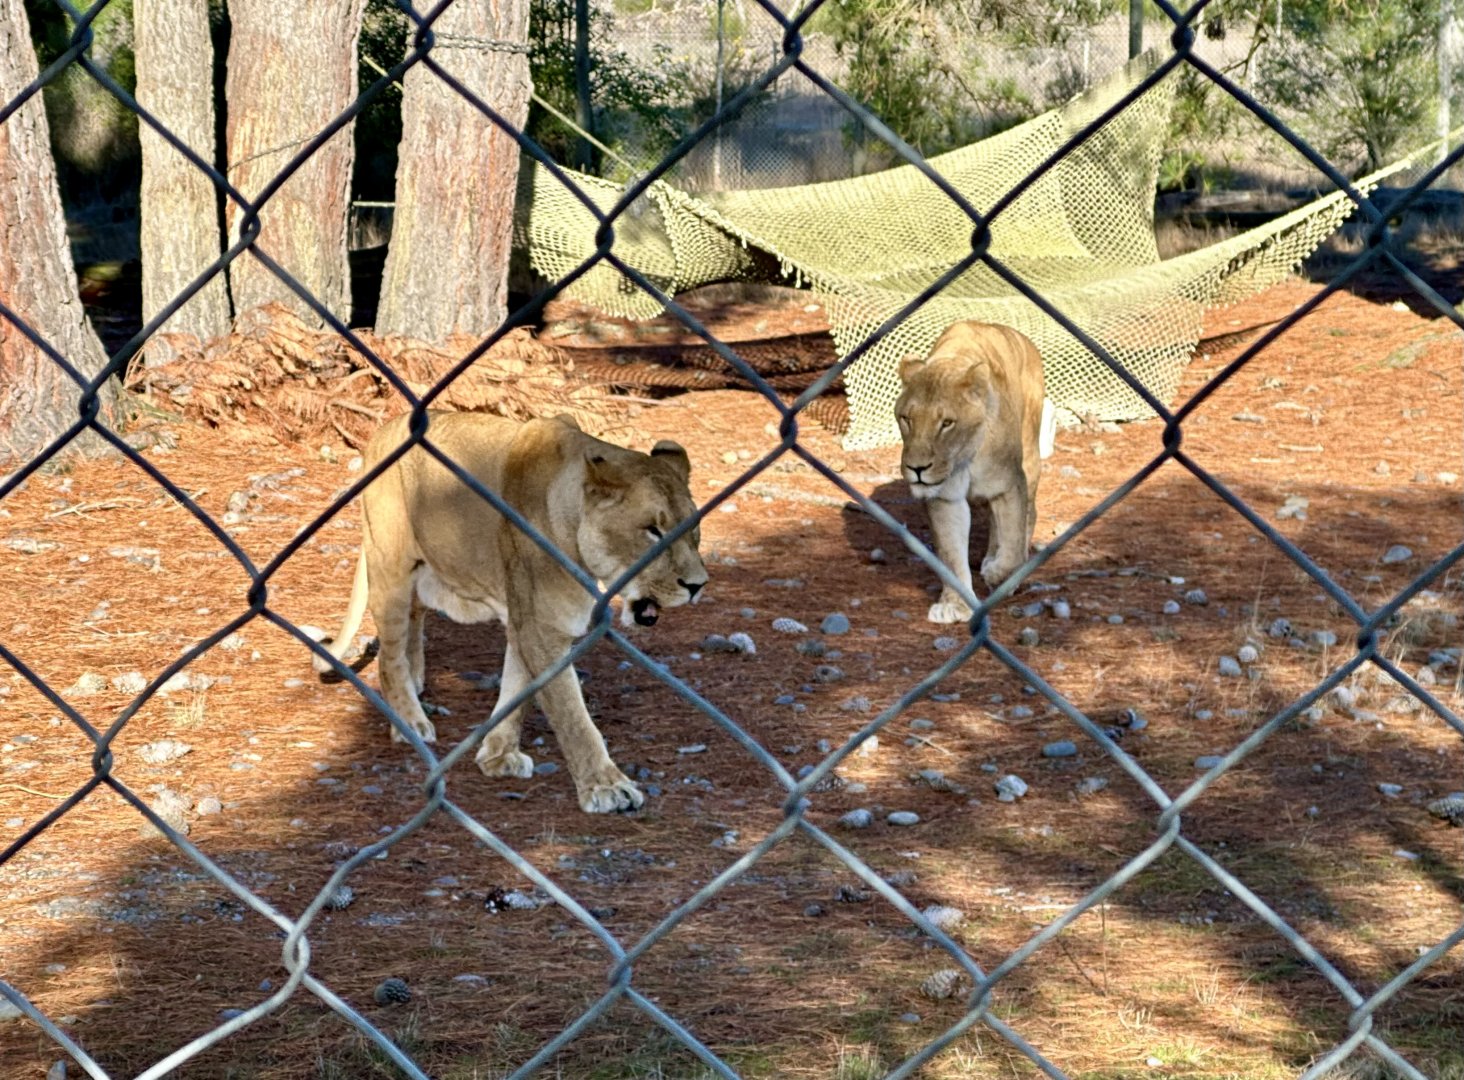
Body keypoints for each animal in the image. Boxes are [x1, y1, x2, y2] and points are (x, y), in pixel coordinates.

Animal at [312, 410, 708, 813]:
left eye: (695, 529)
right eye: (653, 530)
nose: (698, 585)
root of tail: (384, 432)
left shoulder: (524, 618)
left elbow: (518, 689)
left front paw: (498, 755)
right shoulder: (541, 626)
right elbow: (571, 713)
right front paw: (606, 787)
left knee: (414, 620)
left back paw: (417, 684)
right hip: (391, 564)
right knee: (388, 659)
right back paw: (409, 721)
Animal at [895, 321, 1055, 624]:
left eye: (946, 423)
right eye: (906, 419)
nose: (917, 468)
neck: (965, 456)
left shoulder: (1009, 484)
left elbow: (1012, 546)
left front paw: (998, 576)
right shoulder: (945, 497)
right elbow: (951, 555)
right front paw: (954, 605)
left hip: (1030, 456)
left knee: (1029, 515)